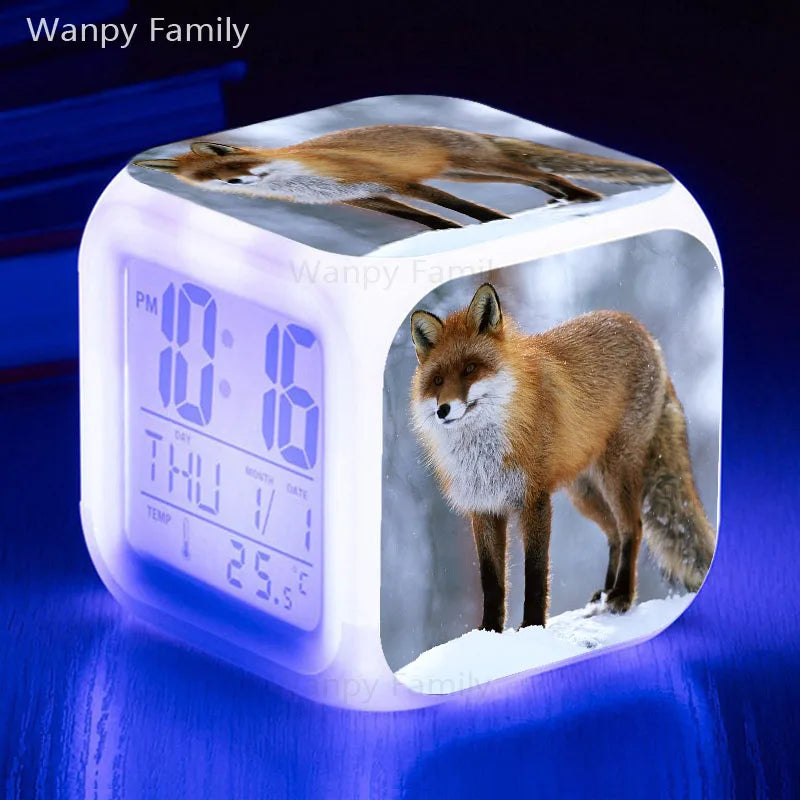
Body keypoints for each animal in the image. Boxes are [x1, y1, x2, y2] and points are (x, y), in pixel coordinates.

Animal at [410, 283, 715, 631]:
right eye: (437, 380)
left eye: (470, 369)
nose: (443, 409)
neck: (484, 455)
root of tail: (644, 333)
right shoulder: (484, 507)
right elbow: (491, 582)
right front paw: (488, 632)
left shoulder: (535, 499)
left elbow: (535, 572)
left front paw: (531, 626)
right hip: (583, 493)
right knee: (613, 534)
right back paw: (606, 593)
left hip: (616, 475)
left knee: (632, 529)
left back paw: (622, 596)